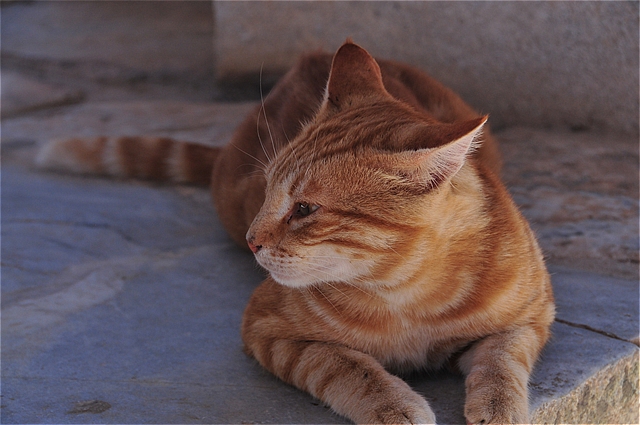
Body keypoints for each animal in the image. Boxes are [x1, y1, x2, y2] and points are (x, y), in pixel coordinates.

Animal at [37, 40, 552, 424]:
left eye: (304, 209)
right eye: (269, 190)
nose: (253, 240)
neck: (407, 293)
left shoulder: (533, 314)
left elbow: (503, 359)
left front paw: (499, 408)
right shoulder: (269, 330)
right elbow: (347, 366)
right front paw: (395, 406)